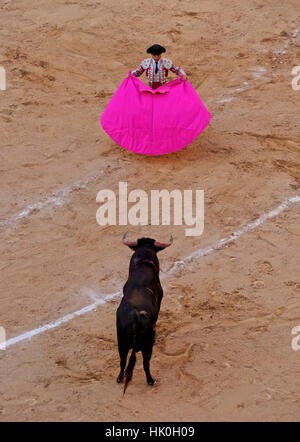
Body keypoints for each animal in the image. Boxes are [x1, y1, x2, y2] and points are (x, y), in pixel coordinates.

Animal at [116, 235, 172, 394]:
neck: (142, 265)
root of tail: (135, 319)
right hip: (147, 346)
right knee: (146, 363)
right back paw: (150, 380)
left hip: (121, 342)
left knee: (122, 361)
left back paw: (119, 379)